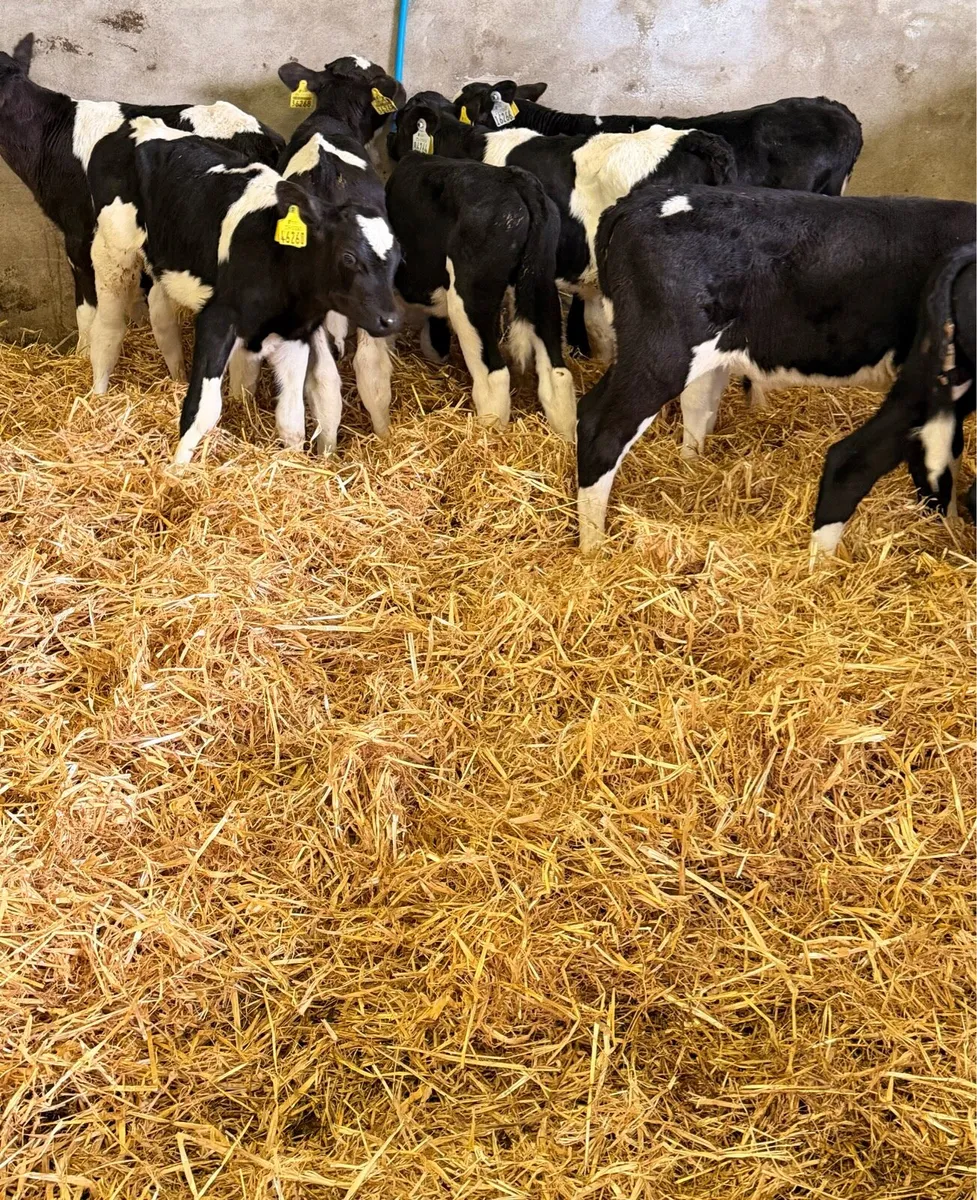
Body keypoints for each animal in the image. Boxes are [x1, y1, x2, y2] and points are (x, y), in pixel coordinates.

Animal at [87, 119, 400, 465]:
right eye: (348, 256)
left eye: (398, 259)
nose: (389, 319)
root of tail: (138, 124)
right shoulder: (217, 321)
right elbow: (202, 409)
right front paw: (175, 469)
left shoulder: (294, 334)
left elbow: (292, 420)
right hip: (112, 250)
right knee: (108, 327)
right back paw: (98, 397)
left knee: (159, 309)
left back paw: (175, 373)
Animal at [383, 152, 576, 439]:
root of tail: (517, 180)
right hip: (542, 284)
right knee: (558, 372)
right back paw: (565, 437)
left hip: (470, 299)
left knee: (494, 376)